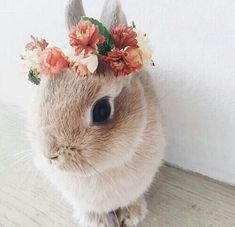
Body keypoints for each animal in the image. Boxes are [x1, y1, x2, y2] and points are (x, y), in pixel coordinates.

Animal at [28, 0, 165, 227]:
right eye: (45, 89)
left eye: (102, 110)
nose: (50, 154)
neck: (101, 168)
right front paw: (98, 222)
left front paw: (131, 216)